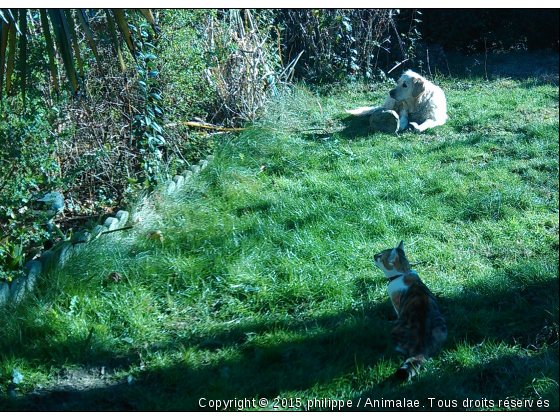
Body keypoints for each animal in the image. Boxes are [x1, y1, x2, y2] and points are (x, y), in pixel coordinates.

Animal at [374, 240, 448, 380]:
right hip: (441, 323)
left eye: (380, 256)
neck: (403, 273)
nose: (374, 255)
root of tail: (421, 348)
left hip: (398, 326)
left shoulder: (397, 304)